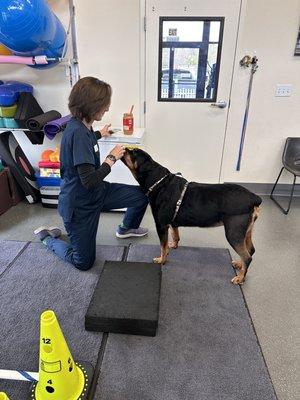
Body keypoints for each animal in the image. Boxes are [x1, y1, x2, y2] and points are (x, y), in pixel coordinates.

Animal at [122, 148, 260, 284]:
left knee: (247, 257)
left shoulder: (161, 225)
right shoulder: (172, 222)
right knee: (251, 250)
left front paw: (162, 260)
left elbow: (162, 246)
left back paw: (240, 277)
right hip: (247, 230)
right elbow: (175, 235)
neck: (159, 182)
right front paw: (173, 246)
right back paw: (239, 264)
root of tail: (254, 198)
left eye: (133, 153)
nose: (124, 148)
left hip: (234, 232)